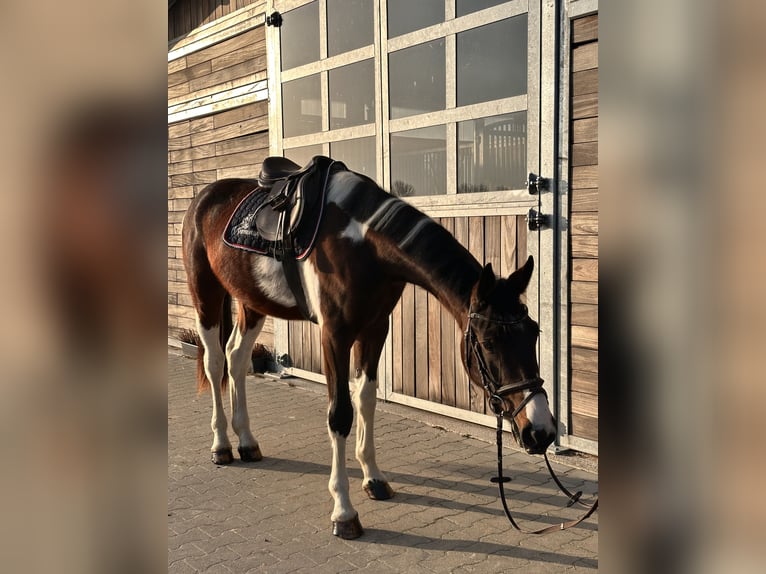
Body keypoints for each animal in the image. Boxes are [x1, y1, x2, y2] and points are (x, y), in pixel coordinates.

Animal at [181, 157, 557, 539]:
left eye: (534, 333)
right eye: (489, 342)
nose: (541, 432)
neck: (363, 243)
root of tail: (207, 197)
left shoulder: (375, 329)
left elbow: (366, 400)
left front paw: (374, 479)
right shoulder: (334, 335)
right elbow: (340, 414)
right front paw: (344, 512)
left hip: (252, 302)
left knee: (237, 359)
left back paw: (247, 442)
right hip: (205, 296)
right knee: (215, 363)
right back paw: (221, 446)